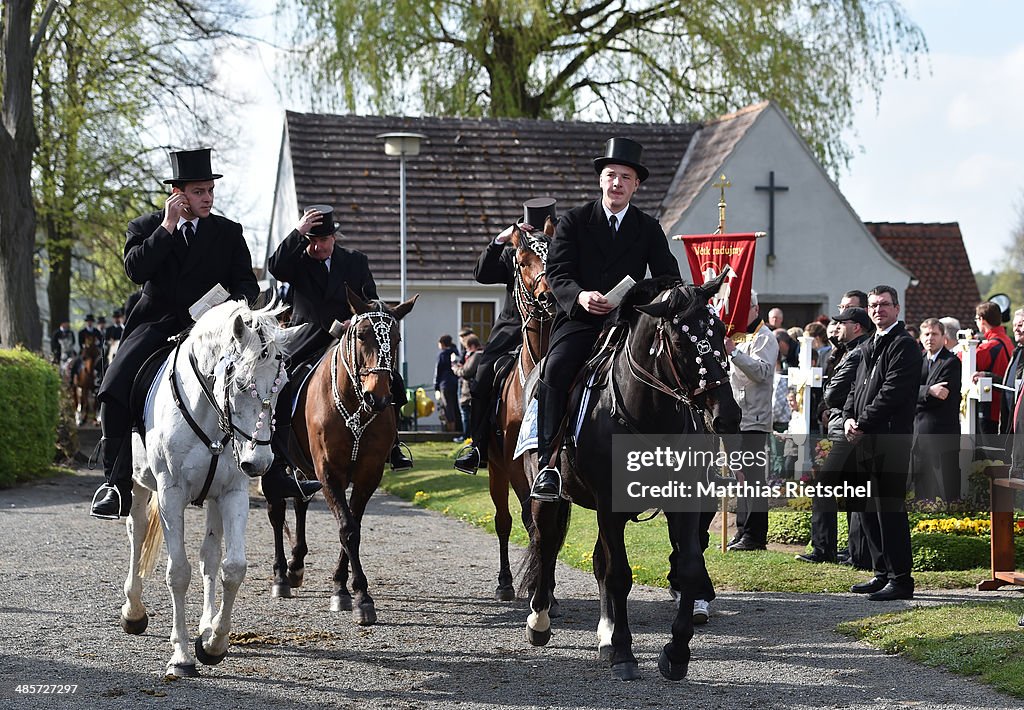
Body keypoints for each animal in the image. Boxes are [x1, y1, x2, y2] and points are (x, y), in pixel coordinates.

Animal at [118, 299, 299, 676]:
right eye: (239, 382)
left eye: (282, 384)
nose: (259, 463)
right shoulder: (170, 493)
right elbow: (178, 572)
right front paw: (182, 656)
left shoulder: (232, 493)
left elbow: (232, 567)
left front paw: (213, 643)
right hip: (139, 483)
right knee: (137, 531)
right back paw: (134, 611)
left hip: (214, 499)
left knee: (209, 556)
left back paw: (205, 624)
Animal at [268, 284, 419, 622]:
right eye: (361, 335)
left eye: (397, 338)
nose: (378, 397)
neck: (355, 406)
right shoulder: (329, 472)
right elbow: (347, 528)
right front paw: (359, 595)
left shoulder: (367, 475)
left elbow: (353, 526)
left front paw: (344, 587)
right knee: (276, 510)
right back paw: (281, 575)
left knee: (299, 502)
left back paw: (296, 565)